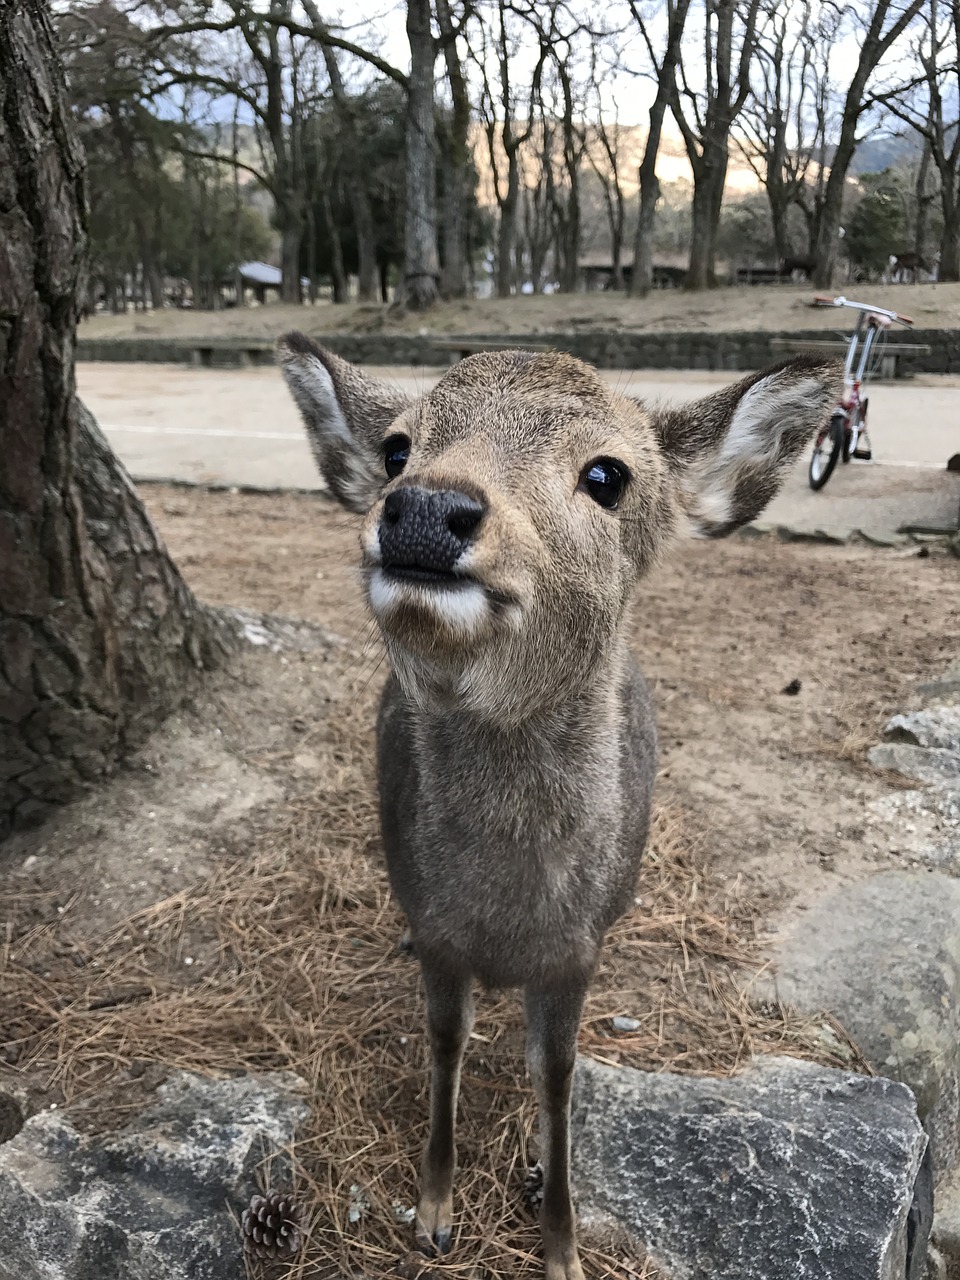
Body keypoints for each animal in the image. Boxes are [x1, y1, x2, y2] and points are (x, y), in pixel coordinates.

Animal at [277, 337, 839, 1280]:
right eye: (396, 448)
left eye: (607, 474)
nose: (424, 507)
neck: (510, 923)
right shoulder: (440, 931)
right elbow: (445, 1043)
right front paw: (435, 1212)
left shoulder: (579, 951)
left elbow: (558, 1075)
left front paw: (562, 1245)